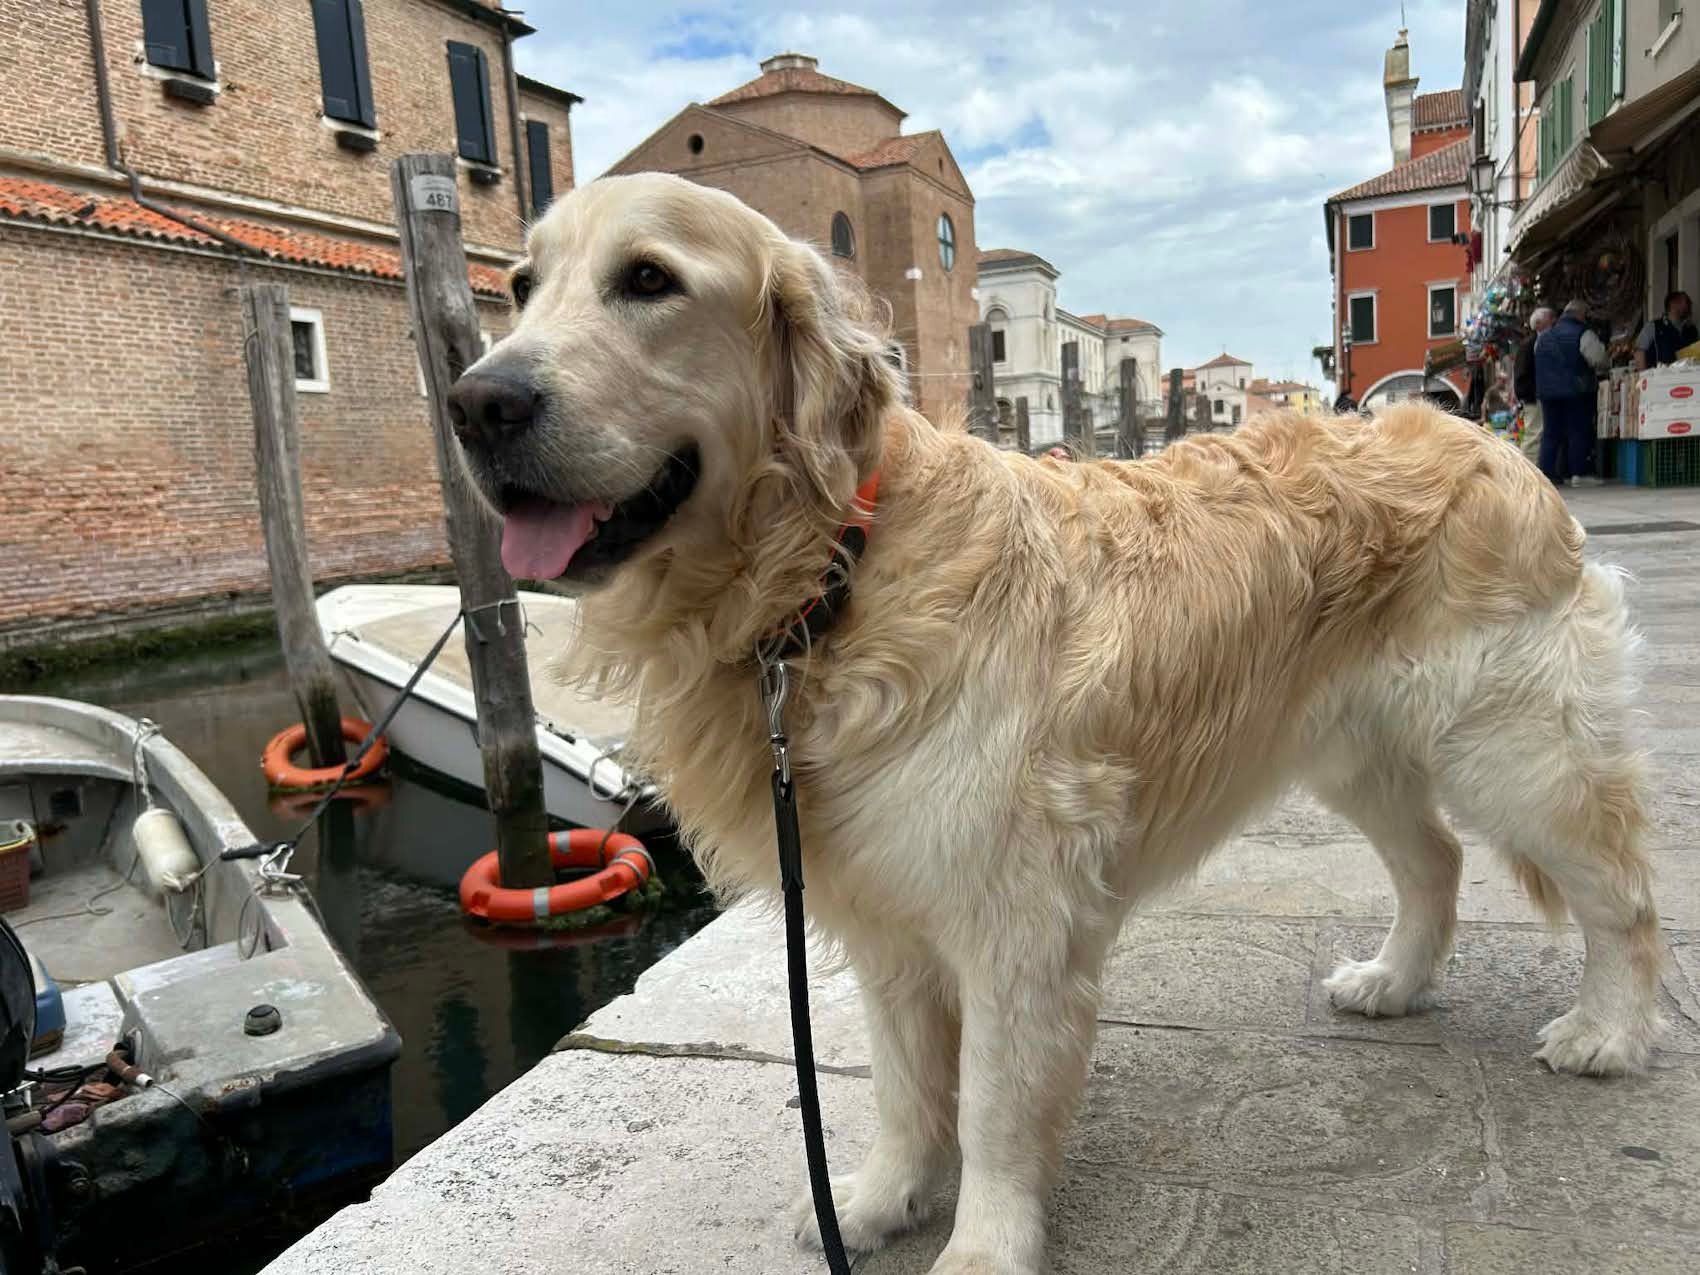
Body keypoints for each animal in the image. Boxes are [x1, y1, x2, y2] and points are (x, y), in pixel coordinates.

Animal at [447, 173, 1660, 1274]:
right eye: (522, 287)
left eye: (648, 281)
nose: (475, 404)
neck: (833, 577)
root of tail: (1479, 434)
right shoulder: (884, 913)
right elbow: (903, 1084)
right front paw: (879, 1200)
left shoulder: (1014, 921)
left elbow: (990, 1103)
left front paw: (982, 1248)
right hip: (1353, 748)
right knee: (1435, 859)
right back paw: (1395, 982)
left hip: (1518, 747)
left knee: (1618, 894)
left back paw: (1608, 1030)